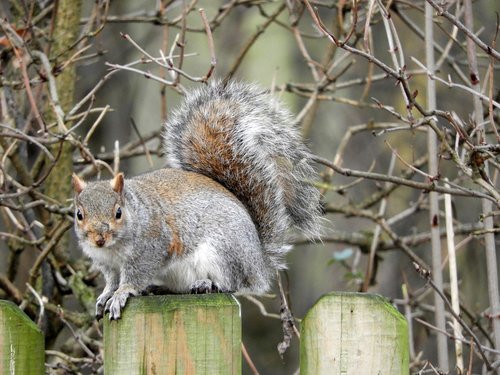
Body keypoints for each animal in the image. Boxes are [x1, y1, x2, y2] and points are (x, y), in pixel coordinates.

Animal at [72, 81, 322, 320]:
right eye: (79, 214)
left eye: (118, 212)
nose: (99, 239)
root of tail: (258, 264)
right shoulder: (107, 264)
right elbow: (112, 280)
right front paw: (106, 294)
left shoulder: (151, 247)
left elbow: (134, 276)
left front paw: (122, 294)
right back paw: (159, 288)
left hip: (223, 250)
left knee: (232, 283)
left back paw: (208, 283)